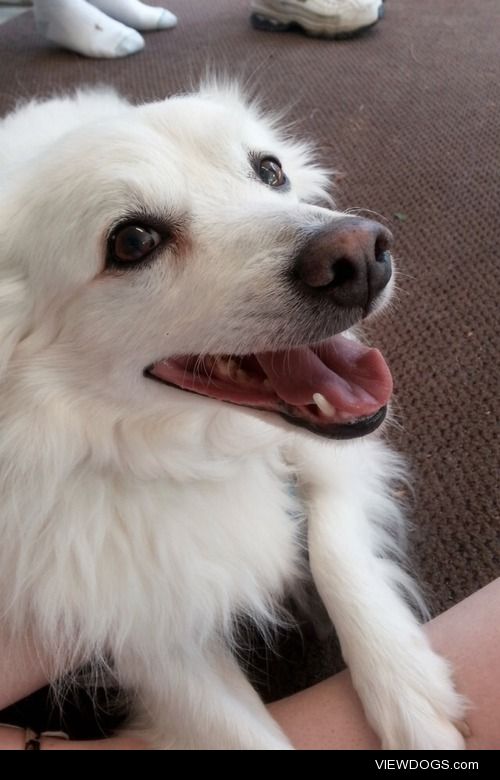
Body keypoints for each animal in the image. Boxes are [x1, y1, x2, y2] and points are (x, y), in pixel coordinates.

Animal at [0, 85, 466, 748]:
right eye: (133, 242)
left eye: (270, 171)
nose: (360, 253)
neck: (193, 450)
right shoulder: (136, 623)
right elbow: (243, 734)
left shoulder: (334, 454)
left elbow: (333, 545)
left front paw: (409, 688)